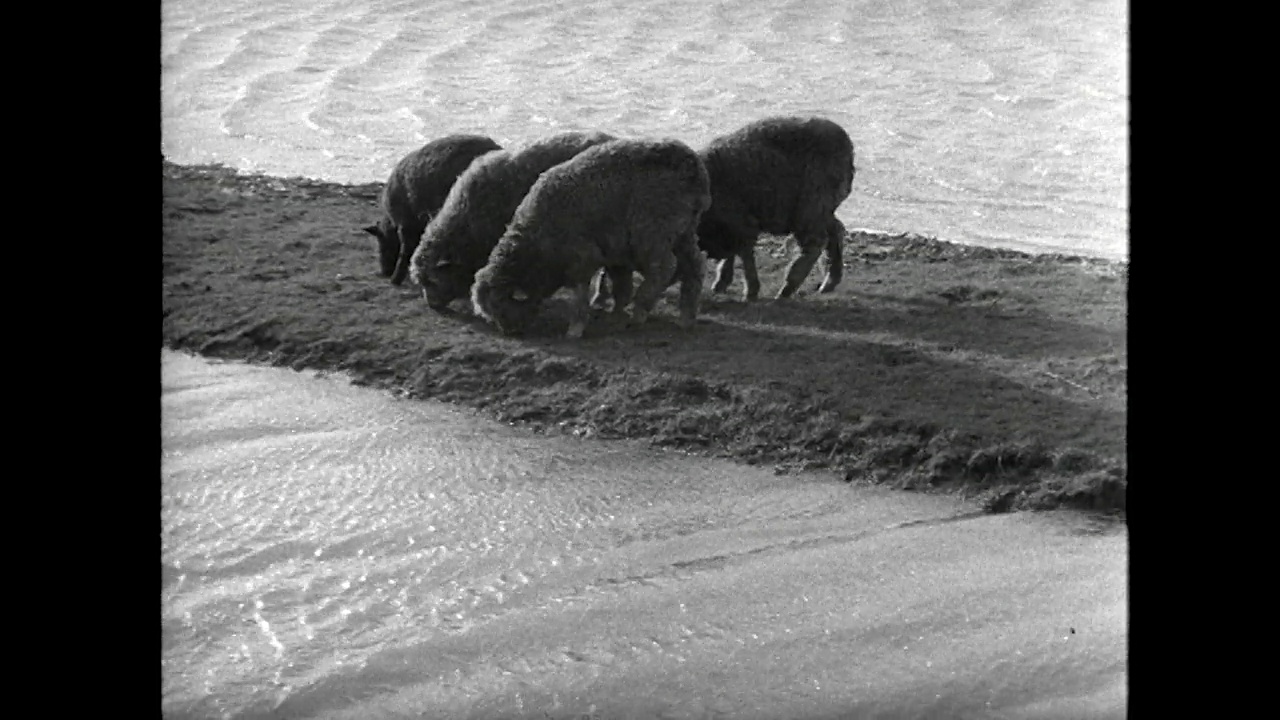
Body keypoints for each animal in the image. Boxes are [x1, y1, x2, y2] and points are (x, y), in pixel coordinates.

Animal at [471, 140, 711, 340]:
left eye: (502, 307)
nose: (510, 333)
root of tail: (693, 166)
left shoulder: (583, 259)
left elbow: (580, 296)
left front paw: (575, 329)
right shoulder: (615, 252)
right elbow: (621, 284)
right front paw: (616, 312)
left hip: (653, 231)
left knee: (664, 267)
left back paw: (641, 309)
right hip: (683, 231)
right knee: (695, 265)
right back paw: (686, 317)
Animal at [696, 114, 855, 297]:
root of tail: (847, 145)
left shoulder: (740, 223)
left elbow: (744, 252)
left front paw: (750, 291)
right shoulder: (731, 226)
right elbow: (733, 253)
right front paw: (722, 282)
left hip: (810, 206)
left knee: (816, 242)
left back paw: (786, 289)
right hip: (821, 209)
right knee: (836, 230)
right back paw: (829, 281)